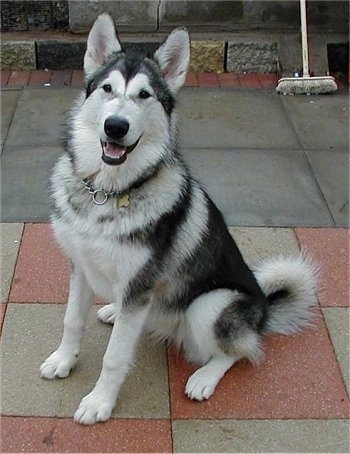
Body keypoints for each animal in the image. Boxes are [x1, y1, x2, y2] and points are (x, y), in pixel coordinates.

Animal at [40, 14, 318, 426]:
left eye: (145, 95)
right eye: (107, 89)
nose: (115, 126)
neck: (106, 193)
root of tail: (263, 312)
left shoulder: (138, 287)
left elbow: (114, 357)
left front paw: (99, 401)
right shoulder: (81, 265)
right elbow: (72, 320)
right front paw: (64, 360)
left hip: (210, 306)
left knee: (242, 350)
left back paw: (204, 377)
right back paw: (112, 310)